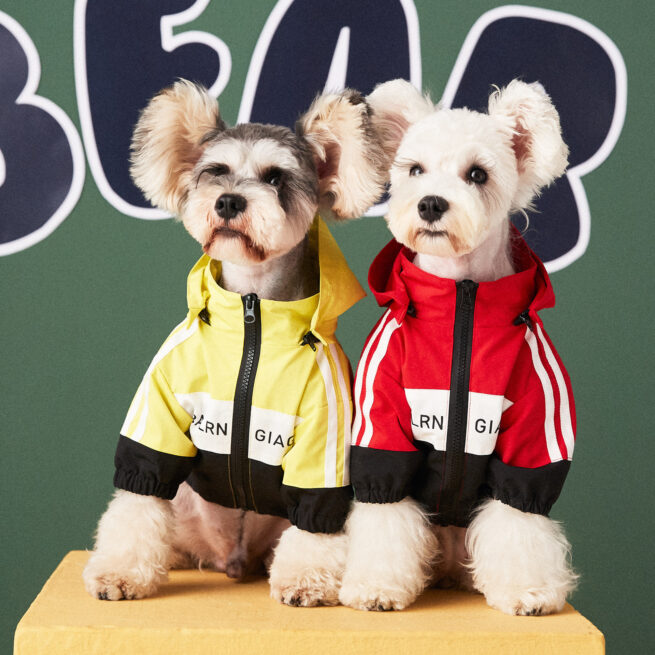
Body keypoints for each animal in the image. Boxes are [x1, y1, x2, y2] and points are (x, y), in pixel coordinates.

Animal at [84, 79, 386, 608]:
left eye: (276, 178)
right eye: (215, 171)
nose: (227, 201)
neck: (253, 314)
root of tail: (232, 556)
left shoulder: (325, 436)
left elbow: (317, 519)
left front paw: (306, 579)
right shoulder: (157, 413)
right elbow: (139, 493)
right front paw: (118, 572)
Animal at [344, 79, 580, 616]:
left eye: (477, 174)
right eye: (414, 169)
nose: (431, 203)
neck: (462, 297)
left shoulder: (535, 435)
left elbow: (520, 515)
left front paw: (527, 589)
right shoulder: (381, 427)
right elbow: (385, 509)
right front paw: (376, 585)